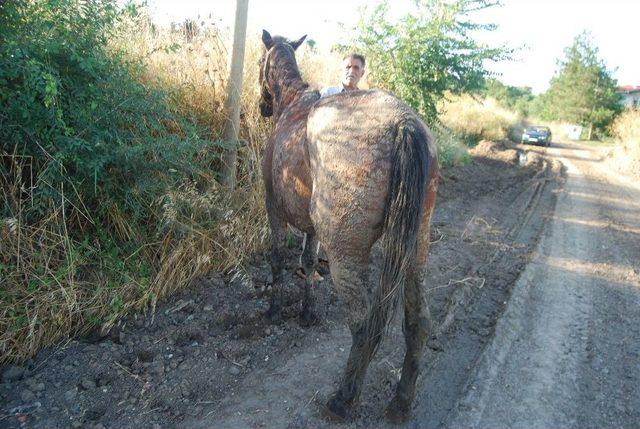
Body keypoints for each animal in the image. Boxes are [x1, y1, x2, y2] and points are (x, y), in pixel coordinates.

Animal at [258, 30, 438, 422]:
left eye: (260, 61)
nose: (262, 105)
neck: (292, 102)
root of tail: (404, 125)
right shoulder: (312, 227)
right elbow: (308, 262)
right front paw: (306, 312)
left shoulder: (273, 207)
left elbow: (277, 258)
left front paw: (275, 308)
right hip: (415, 251)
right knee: (418, 322)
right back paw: (401, 401)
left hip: (346, 255)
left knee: (362, 323)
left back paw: (344, 398)